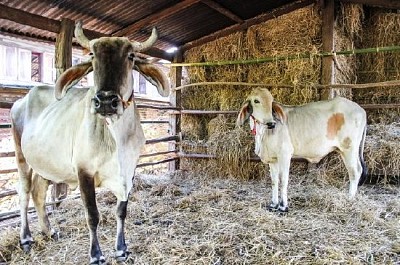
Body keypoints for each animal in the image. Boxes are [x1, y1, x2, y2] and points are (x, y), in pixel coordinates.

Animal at [10, 21, 170, 262]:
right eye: (92, 55)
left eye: (131, 55)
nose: (105, 101)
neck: (118, 140)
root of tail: (21, 101)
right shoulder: (83, 171)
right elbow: (92, 215)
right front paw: (96, 255)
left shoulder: (129, 171)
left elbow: (121, 211)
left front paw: (121, 249)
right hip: (21, 156)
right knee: (24, 192)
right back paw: (26, 238)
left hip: (45, 163)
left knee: (38, 192)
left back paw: (49, 231)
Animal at [236, 87, 368, 211]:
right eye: (256, 101)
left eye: (271, 101)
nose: (271, 123)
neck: (262, 134)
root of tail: (361, 110)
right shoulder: (273, 159)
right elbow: (274, 181)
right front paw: (273, 204)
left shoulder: (285, 154)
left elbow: (283, 180)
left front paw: (283, 206)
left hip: (349, 148)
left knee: (355, 171)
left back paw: (349, 199)